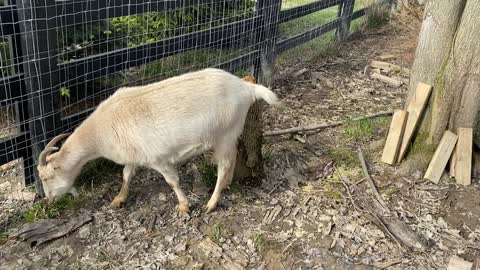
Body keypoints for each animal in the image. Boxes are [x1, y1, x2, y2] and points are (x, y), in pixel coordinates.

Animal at [36, 68, 278, 215]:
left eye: (46, 177)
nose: (49, 200)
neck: (103, 130)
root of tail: (247, 87)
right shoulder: (134, 155)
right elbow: (126, 174)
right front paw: (118, 199)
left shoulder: (158, 158)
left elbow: (172, 181)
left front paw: (183, 206)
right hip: (230, 134)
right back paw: (226, 186)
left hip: (225, 134)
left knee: (224, 165)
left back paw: (211, 204)